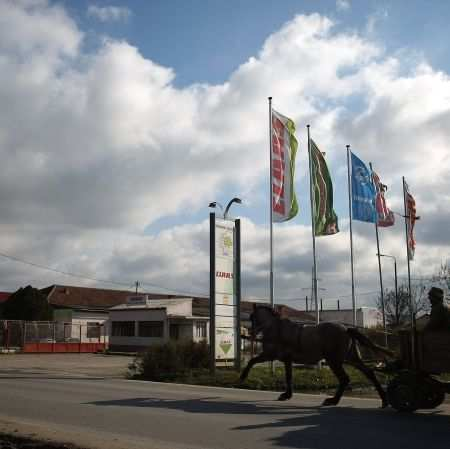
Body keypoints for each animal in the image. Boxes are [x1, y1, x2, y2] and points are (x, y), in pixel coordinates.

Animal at [241, 304, 392, 406]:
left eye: (252, 317)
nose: (250, 333)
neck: (275, 328)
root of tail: (346, 329)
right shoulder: (287, 360)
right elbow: (289, 377)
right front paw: (287, 395)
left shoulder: (269, 354)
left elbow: (252, 361)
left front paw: (243, 377)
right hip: (350, 358)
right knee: (369, 373)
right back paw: (384, 400)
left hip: (334, 360)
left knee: (344, 379)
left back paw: (333, 400)